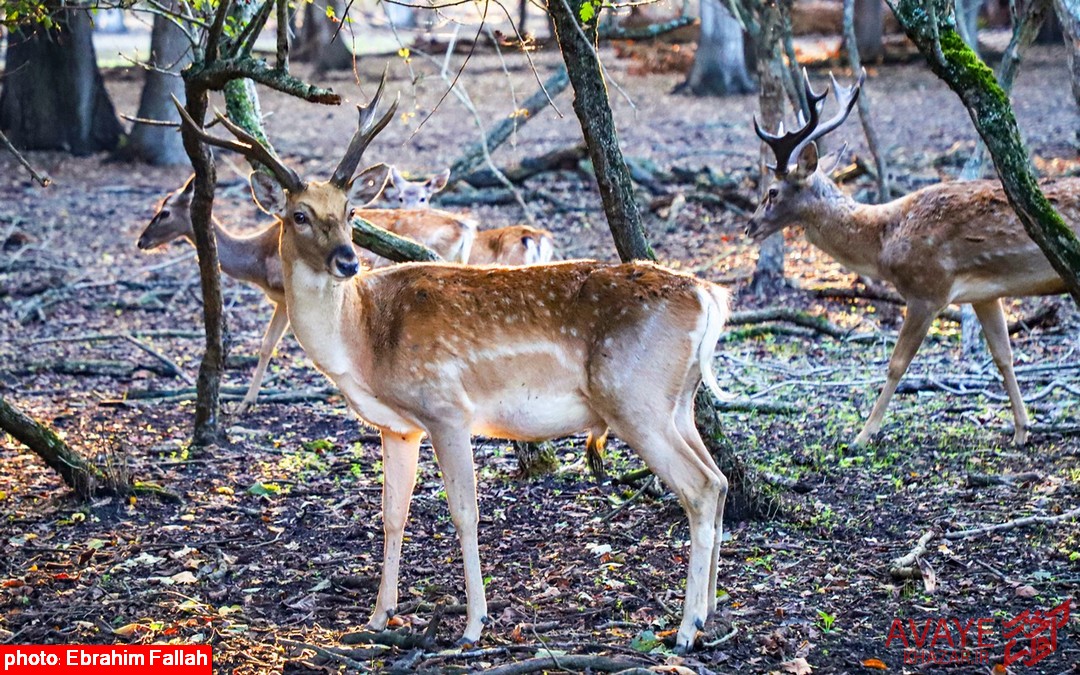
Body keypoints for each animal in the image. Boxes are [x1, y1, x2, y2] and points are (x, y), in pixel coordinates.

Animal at [174, 76, 734, 652]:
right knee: (719, 481)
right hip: (677, 402)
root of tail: (711, 297)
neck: (364, 341)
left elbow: (464, 513)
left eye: (352, 212)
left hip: (634, 399)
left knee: (700, 487)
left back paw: (686, 628)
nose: (348, 261)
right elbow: (391, 515)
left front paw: (472, 625)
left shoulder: (446, 408)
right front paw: (377, 617)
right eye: (299, 215)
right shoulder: (398, 427)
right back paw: (711, 613)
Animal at [747, 68, 1075, 447]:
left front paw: (863, 435)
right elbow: (1003, 355)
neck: (884, 243)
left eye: (772, 192)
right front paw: (1022, 430)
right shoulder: (984, 293)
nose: (750, 226)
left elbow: (896, 363)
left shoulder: (927, 289)